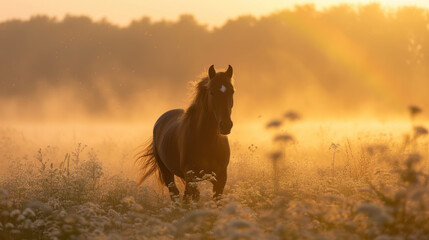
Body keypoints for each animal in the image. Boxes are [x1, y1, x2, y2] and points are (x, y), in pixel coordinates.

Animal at [136, 64, 234, 202]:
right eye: (212, 92)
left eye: (232, 91)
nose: (226, 125)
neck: (207, 140)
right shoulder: (191, 177)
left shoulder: (220, 178)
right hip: (167, 172)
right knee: (175, 194)